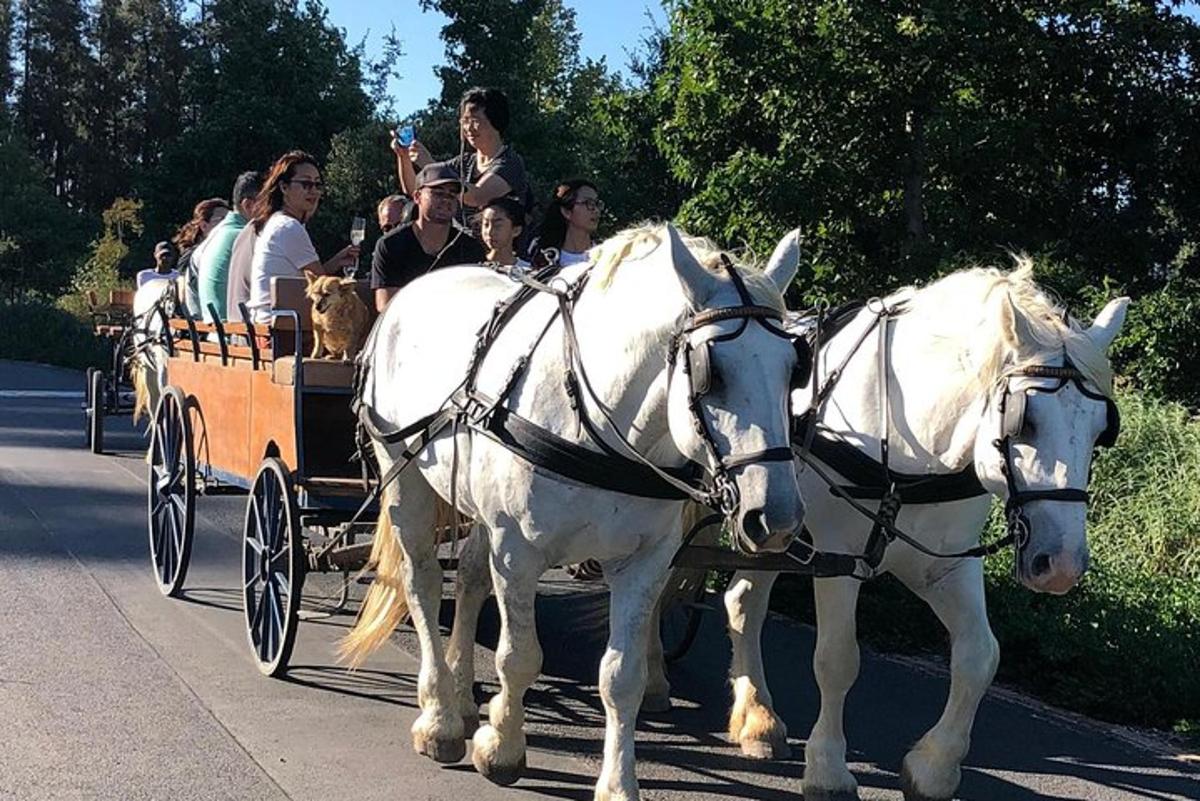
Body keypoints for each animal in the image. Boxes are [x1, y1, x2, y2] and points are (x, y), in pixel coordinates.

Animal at [338, 221, 806, 796]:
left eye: (794, 369)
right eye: (710, 372)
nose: (776, 518)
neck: (598, 424)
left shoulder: (644, 561)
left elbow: (621, 676)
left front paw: (618, 783)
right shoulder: (517, 551)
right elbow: (518, 657)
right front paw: (502, 748)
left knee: (469, 576)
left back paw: (463, 698)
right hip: (405, 479)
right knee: (421, 581)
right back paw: (440, 717)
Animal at [648, 260, 1123, 796]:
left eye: (1101, 429)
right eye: (1026, 422)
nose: (1060, 565)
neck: (909, 444)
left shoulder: (945, 566)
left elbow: (980, 657)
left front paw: (933, 767)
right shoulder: (837, 559)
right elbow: (837, 658)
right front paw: (828, 769)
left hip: (771, 529)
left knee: (742, 602)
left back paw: (758, 721)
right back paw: (655, 680)